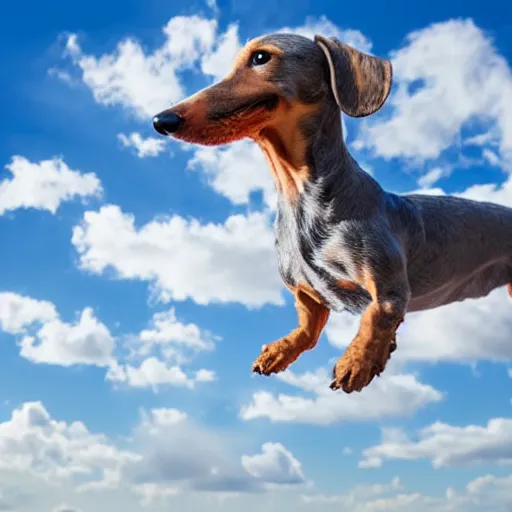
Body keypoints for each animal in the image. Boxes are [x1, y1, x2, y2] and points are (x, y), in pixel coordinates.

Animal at [151, 33, 512, 392]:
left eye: (260, 57)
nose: (160, 120)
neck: (302, 200)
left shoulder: (391, 290)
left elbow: (376, 315)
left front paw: (358, 362)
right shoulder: (305, 291)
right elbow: (308, 328)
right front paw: (281, 351)